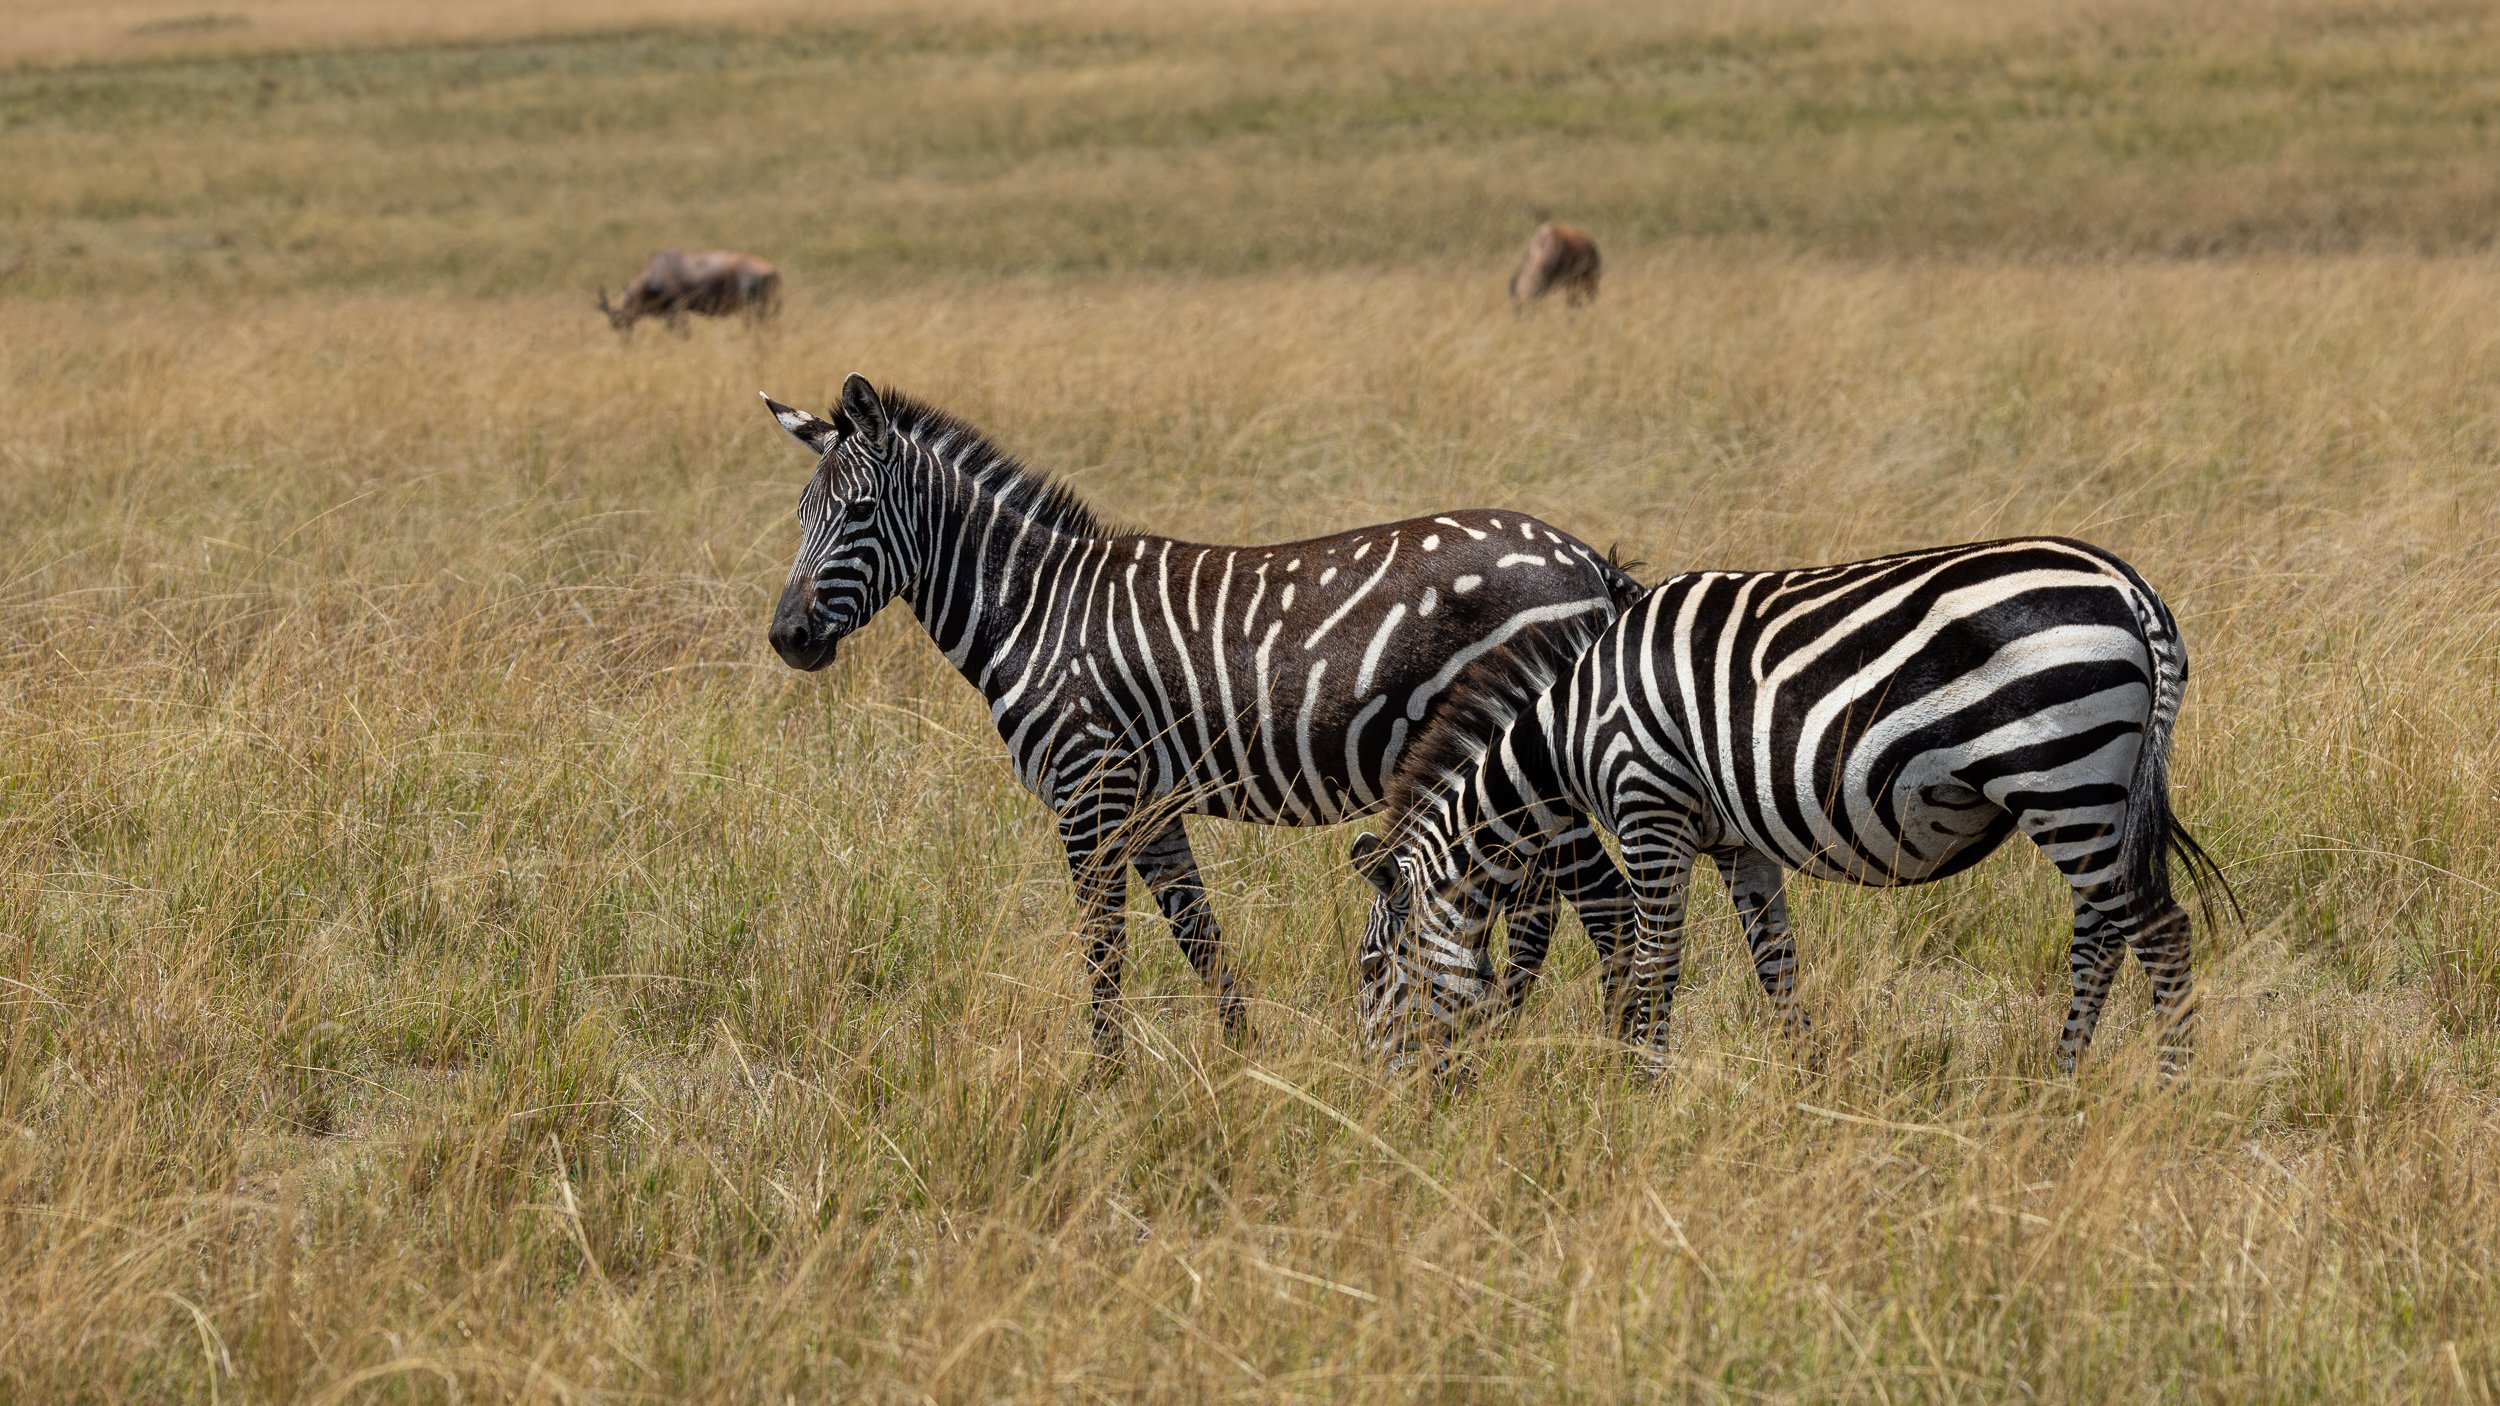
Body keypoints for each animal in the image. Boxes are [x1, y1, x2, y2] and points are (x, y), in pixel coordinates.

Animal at [762, 373, 1647, 1055]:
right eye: (802, 516)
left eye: (860, 512)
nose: (787, 638)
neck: (1032, 611)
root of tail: (1589, 562)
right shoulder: (1149, 809)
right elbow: (1201, 940)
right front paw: (1240, 1068)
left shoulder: (1089, 792)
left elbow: (1103, 952)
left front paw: (1105, 1086)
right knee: (1546, 913)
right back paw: (1515, 1042)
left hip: (1531, 764)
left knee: (1602, 907)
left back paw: (1610, 1064)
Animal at [1349, 536, 2232, 1078]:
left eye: (1371, 973)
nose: (1381, 1102)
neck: (1566, 728)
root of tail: (2130, 589)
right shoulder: (1736, 842)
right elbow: (1776, 965)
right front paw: (1806, 1081)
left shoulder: (1648, 806)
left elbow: (1656, 963)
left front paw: (1639, 1089)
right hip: (2093, 793)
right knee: (2100, 938)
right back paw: (2061, 1082)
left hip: (2061, 774)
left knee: (2159, 933)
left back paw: (2169, 1090)